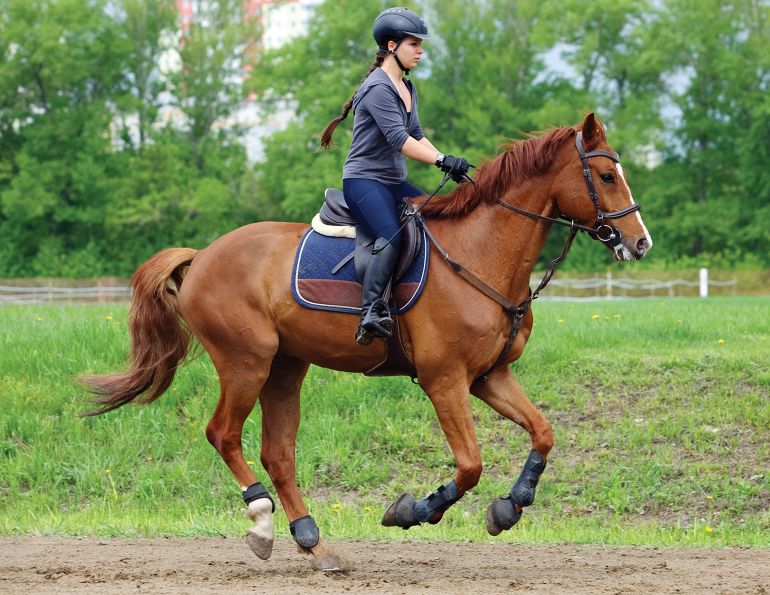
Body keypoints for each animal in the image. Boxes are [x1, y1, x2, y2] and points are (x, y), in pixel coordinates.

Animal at [83, 113, 652, 572]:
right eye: (606, 176)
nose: (640, 243)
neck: (482, 252)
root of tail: (202, 255)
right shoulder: (444, 381)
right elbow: (470, 465)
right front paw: (411, 510)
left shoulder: (490, 377)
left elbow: (543, 434)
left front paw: (509, 507)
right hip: (247, 362)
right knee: (223, 434)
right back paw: (263, 523)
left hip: (285, 367)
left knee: (278, 454)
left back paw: (312, 542)